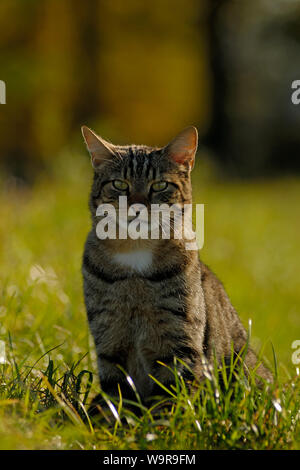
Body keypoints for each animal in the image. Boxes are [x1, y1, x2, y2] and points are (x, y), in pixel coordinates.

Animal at [81, 126, 274, 414]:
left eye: (160, 185)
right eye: (120, 185)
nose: (137, 206)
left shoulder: (178, 343)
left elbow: (171, 400)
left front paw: (161, 424)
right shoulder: (109, 340)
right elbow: (116, 398)